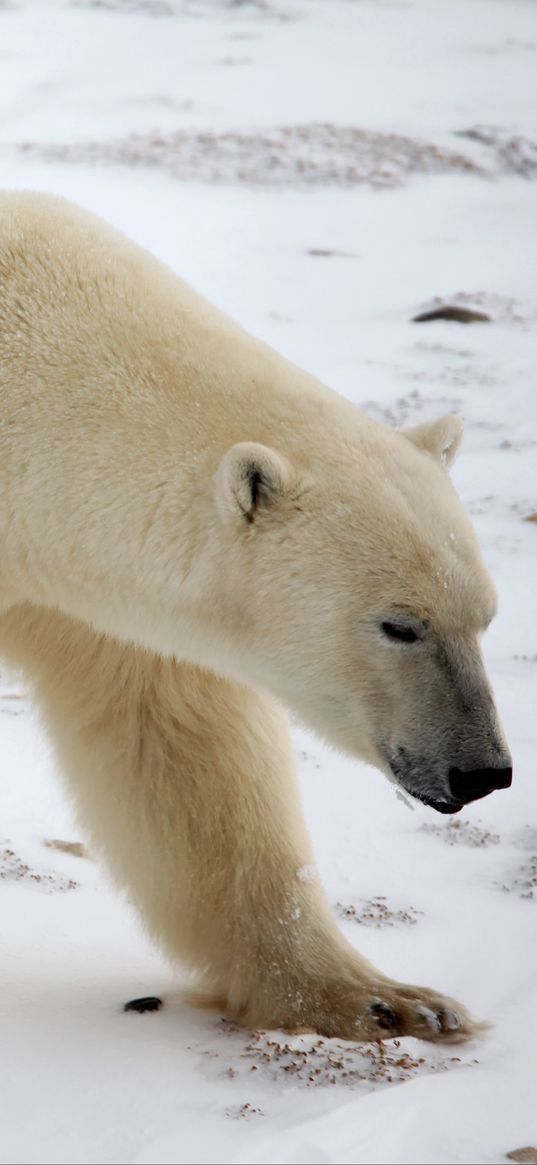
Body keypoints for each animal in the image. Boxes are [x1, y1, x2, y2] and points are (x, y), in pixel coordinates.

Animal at [0, 195, 510, 1043]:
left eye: (485, 617)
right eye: (399, 624)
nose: (480, 770)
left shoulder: (99, 608)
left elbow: (181, 755)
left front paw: (385, 999)